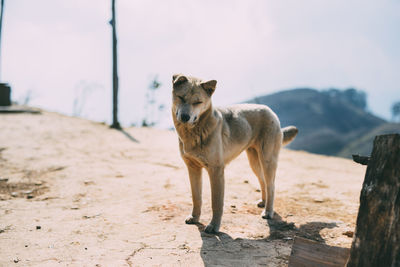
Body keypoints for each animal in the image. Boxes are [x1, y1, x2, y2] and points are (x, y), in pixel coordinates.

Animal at [170, 74, 298, 233]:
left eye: (198, 102)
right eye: (181, 97)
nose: (185, 117)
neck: (196, 130)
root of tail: (269, 110)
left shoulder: (216, 171)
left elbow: (216, 202)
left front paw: (214, 226)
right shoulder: (193, 168)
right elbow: (196, 197)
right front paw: (194, 218)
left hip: (267, 160)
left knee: (271, 185)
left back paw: (268, 212)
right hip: (254, 162)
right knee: (262, 180)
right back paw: (263, 202)